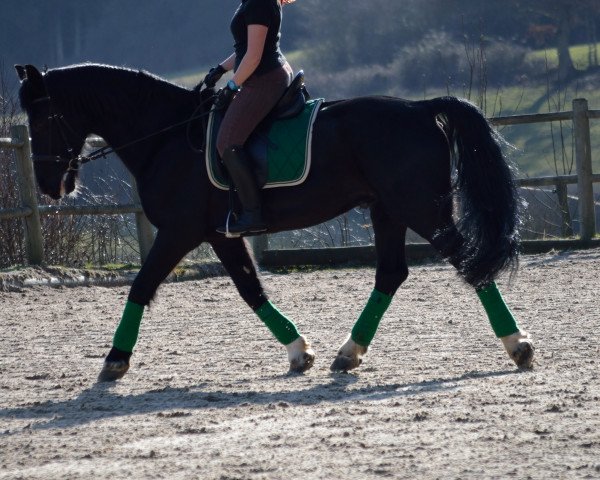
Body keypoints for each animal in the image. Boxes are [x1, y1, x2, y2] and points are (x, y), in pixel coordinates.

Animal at [14, 62, 532, 378]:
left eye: (41, 118)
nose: (50, 186)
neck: (164, 136)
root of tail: (422, 108)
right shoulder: (219, 234)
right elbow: (251, 289)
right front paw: (299, 351)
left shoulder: (179, 231)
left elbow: (141, 286)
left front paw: (115, 360)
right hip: (388, 211)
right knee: (391, 274)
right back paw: (348, 354)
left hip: (420, 210)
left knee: (468, 263)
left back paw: (518, 345)